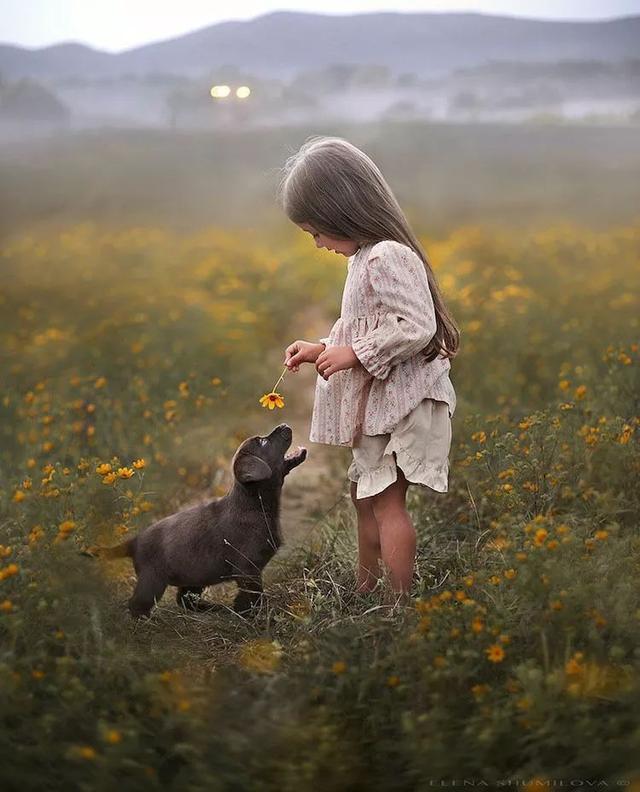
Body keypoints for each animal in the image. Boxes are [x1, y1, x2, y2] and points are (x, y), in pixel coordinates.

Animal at [83, 426, 308, 620]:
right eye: (262, 441)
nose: (284, 425)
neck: (254, 505)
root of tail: (135, 541)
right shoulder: (247, 569)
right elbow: (252, 595)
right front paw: (251, 615)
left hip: (194, 575)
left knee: (184, 600)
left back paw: (213, 608)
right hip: (152, 580)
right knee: (138, 604)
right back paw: (147, 620)